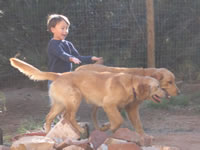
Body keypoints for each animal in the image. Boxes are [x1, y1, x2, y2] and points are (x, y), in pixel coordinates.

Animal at [9, 57, 166, 135]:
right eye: (158, 87)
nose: (166, 93)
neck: (131, 84)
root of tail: (59, 75)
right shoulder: (108, 105)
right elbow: (119, 121)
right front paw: (111, 129)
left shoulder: (115, 107)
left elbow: (115, 120)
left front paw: (106, 127)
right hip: (75, 99)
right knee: (69, 117)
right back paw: (79, 130)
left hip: (60, 104)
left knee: (49, 117)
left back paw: (48, 134)